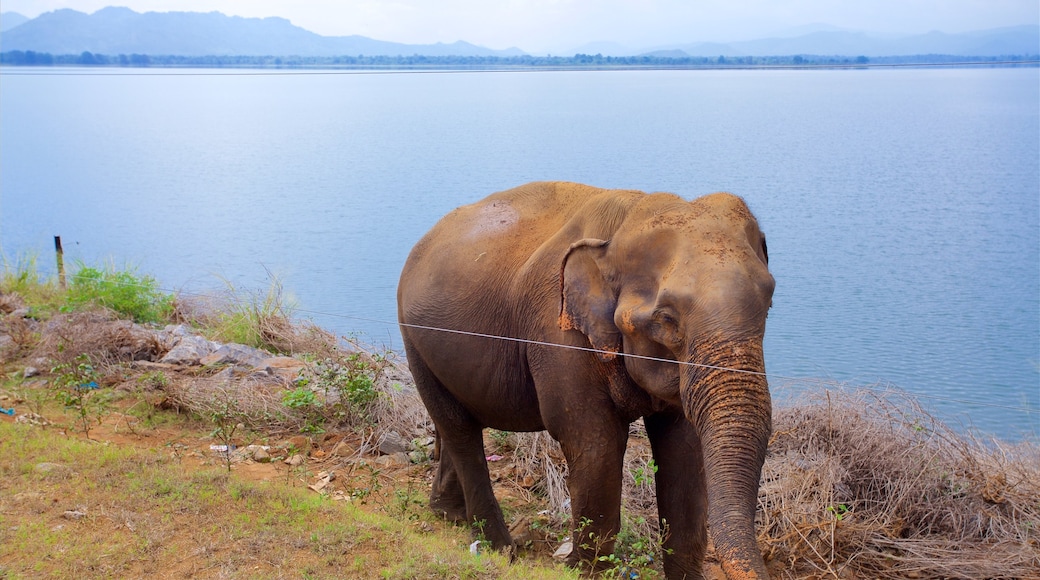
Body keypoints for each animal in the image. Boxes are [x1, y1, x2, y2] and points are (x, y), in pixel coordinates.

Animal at [397, 181, 773, 580]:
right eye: (667, 319)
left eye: (768, 303)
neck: (625, 223)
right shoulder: (557, 331)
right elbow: (595, 443)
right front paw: (578, 570)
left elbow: (684, 449)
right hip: (414, 340)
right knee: (458, 428)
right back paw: (498, 548)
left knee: (459, 423)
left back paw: (448, 514)